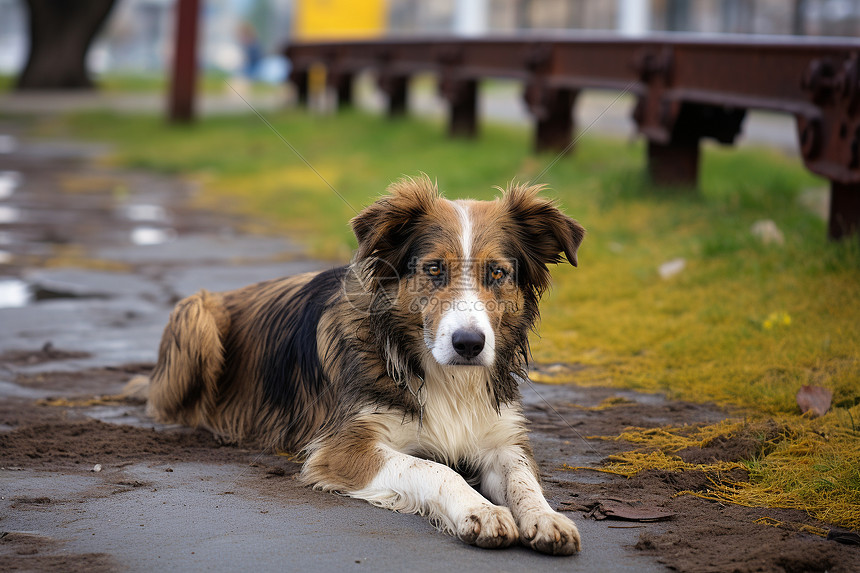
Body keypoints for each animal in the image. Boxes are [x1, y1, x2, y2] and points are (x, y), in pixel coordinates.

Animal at [146, 175, 584, 556]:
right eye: (434, 269)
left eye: (497, 272)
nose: (469, 344)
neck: (440, 372)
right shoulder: (344, 447)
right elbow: (437, 470)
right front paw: (483, 510)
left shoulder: (502, 440)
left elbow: (524, 481)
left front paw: (547, 518)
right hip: (196, 312)